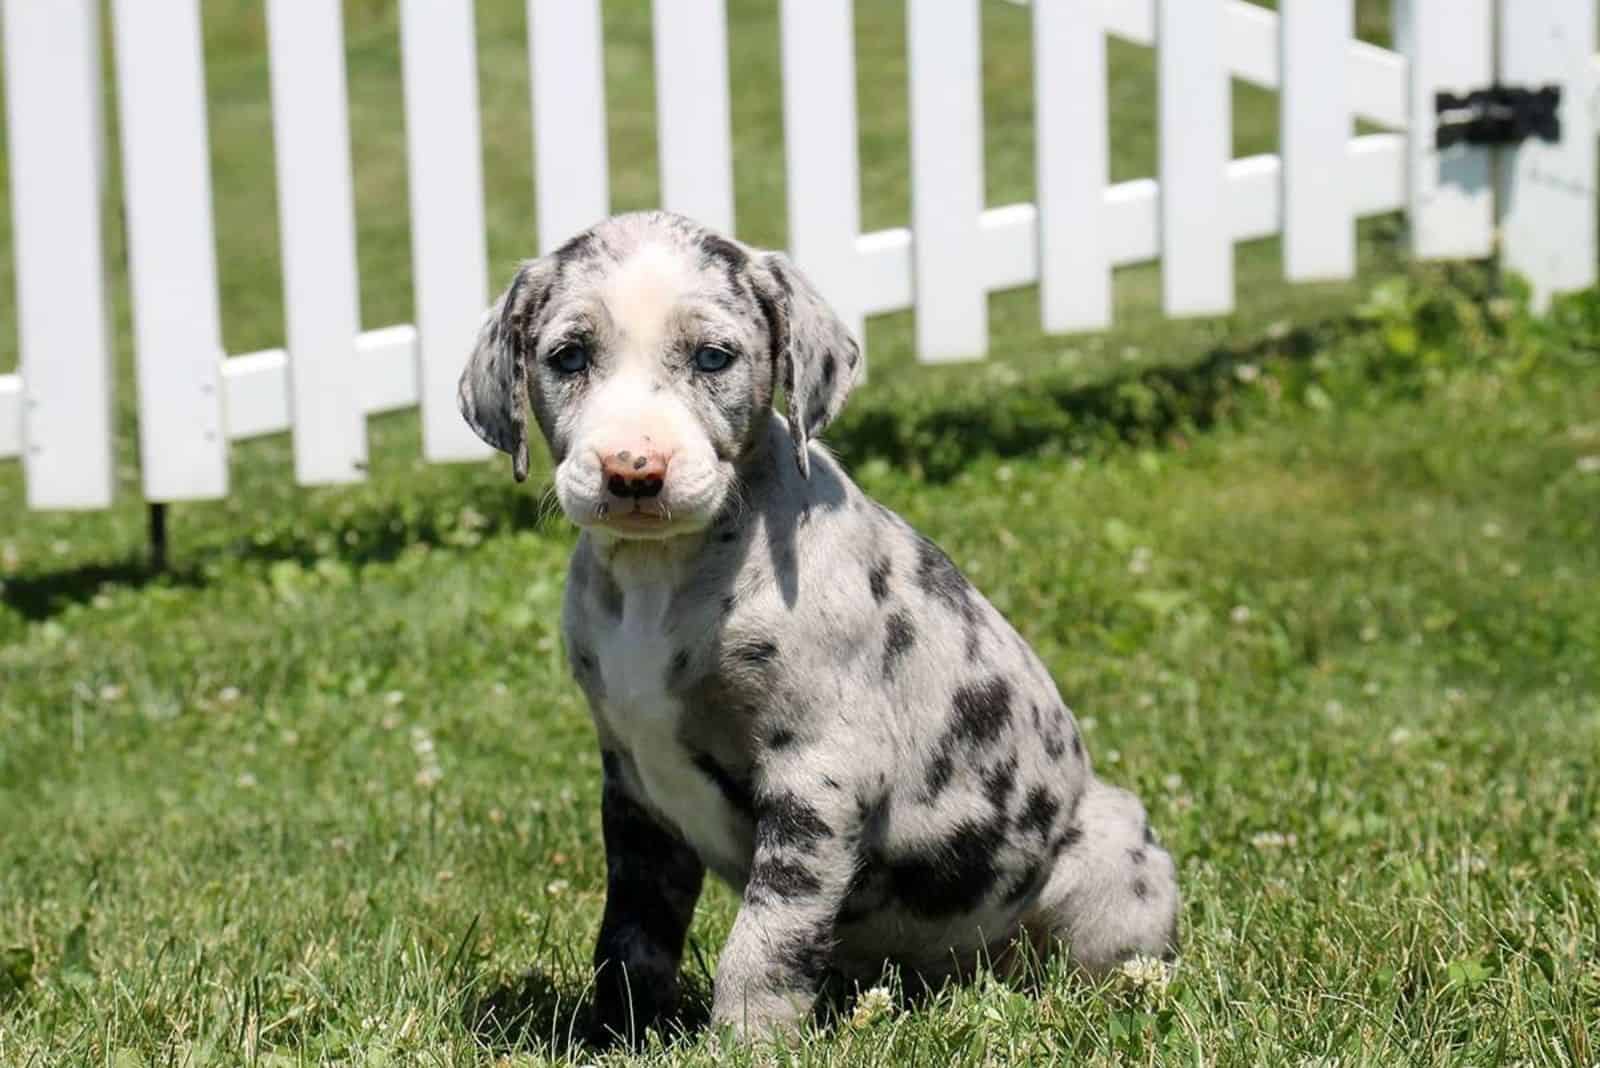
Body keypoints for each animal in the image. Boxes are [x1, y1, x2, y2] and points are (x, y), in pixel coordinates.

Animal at [457, 211, 1184, 1042]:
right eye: (569, 356)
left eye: (713, 357)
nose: (633, 470)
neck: (658, 576)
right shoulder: (636, 793)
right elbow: (630, 935)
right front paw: (617, 1035)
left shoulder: (818, 775)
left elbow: (767, 937)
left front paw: (744, 1044)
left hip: (1109, 850)